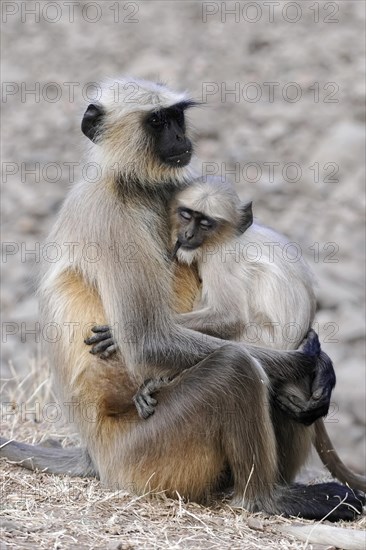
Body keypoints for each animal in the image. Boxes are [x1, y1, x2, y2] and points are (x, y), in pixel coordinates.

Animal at [0, 77, 364, 528]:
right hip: (141, 454)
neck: (131, 187)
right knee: (236, 365)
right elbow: (147, 339)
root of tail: (94, 455)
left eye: (176, 117)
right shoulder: (107, 217)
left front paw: (323, 368)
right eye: (158, 122)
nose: (179, 137)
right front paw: (310, 362)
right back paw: (268, 499)